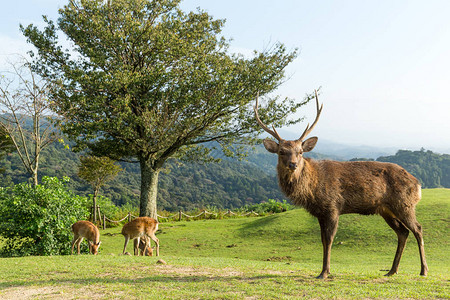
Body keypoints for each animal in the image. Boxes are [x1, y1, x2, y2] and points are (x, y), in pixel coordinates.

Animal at [255, 91, 428, 278]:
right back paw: (392, 270)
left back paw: (423, 270)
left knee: (417, 229)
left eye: (300, 152)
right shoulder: (320, 213)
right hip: (386, 209)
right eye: (281, 152)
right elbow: (322, 240)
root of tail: (418, 184)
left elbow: (329, 239)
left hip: (404, 204)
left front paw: (325, 272)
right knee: (403, 232)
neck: (312, 190)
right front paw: (324, 270)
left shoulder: (333, 207)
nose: (293, 164)